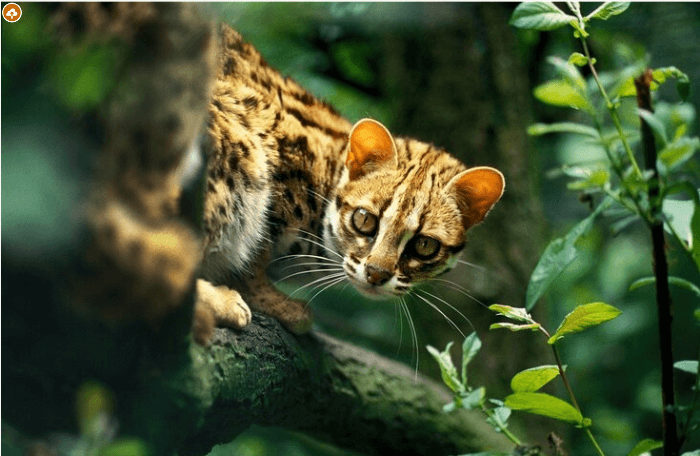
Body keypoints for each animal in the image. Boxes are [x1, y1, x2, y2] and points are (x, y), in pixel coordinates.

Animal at [194, 23, 506, 340]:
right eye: (365, 219)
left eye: (425, 245)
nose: (376, 274)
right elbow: (255, 257)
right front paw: (275, 302)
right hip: (238, 145)